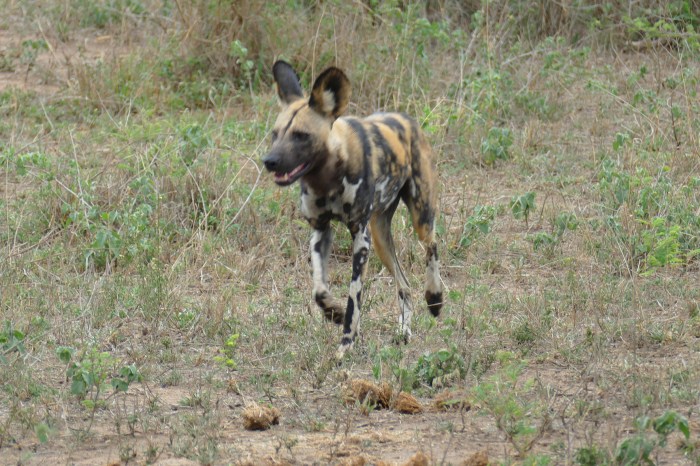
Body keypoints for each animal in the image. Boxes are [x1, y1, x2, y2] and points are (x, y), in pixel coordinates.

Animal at [262, 60, 443, 359]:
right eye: (275, 135)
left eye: (301, 136)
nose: (269, 161)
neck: (327, 179)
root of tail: (406, 118)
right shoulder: (320, 231)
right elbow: (319, 290)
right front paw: (332, 313)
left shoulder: (360, 238)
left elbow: (354, 298)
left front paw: (346, 341)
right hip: (381, 239)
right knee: (404, 285)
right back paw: (404, 331)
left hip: (420, 218)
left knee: (432, 247)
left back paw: (435, 298)